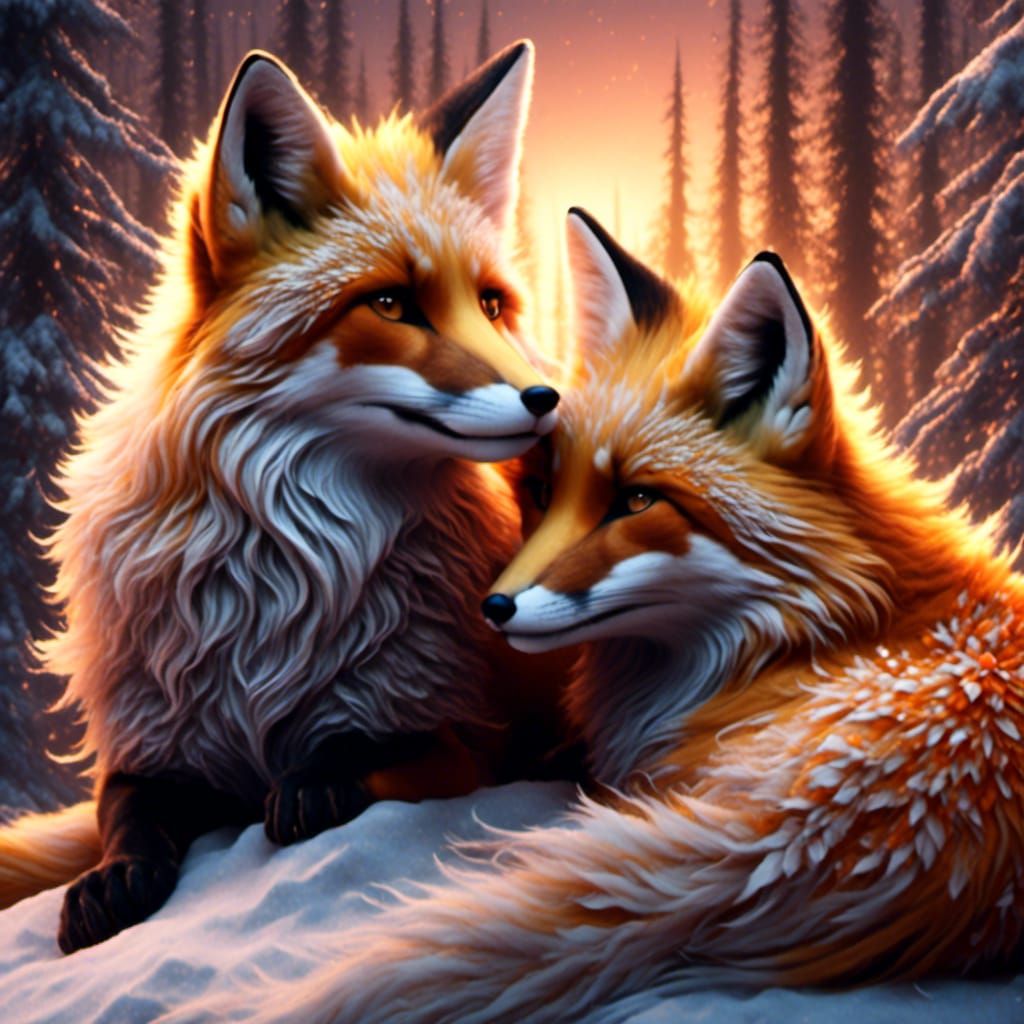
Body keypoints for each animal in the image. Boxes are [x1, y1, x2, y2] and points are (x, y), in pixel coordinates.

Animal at [0, 42, 579, 953]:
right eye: (391, 303)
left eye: (490, 303)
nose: (550, 401)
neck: (281, 581)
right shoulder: (154, 736)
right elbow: (123, 812)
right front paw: (111, 880)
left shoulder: (456, 732)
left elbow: (356, 763)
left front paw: (311, 783)